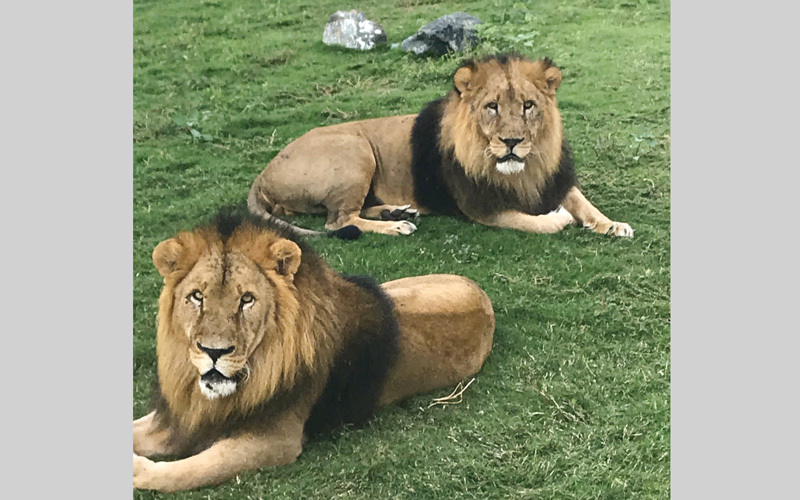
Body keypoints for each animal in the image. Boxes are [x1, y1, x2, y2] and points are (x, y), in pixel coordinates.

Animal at [132, 209, 495, 492]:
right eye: (197, 296)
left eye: (247, 299)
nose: (213, 351)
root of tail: (483, 296)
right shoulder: (183, 418)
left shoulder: (275, 441)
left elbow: (194, 470)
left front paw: (139, 469)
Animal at [248, 53, 633, 238]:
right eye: (492, 106)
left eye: (528, 105)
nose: (511, 142)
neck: (524, 168)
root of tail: (262, 174)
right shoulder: (482, 208)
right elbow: (542, 223)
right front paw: (559, 217)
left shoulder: (553, 178)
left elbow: (584, 203)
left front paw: (612, 224)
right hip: (355, 149)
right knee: (339, 222)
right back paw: (397, 225)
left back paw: (398, 212)